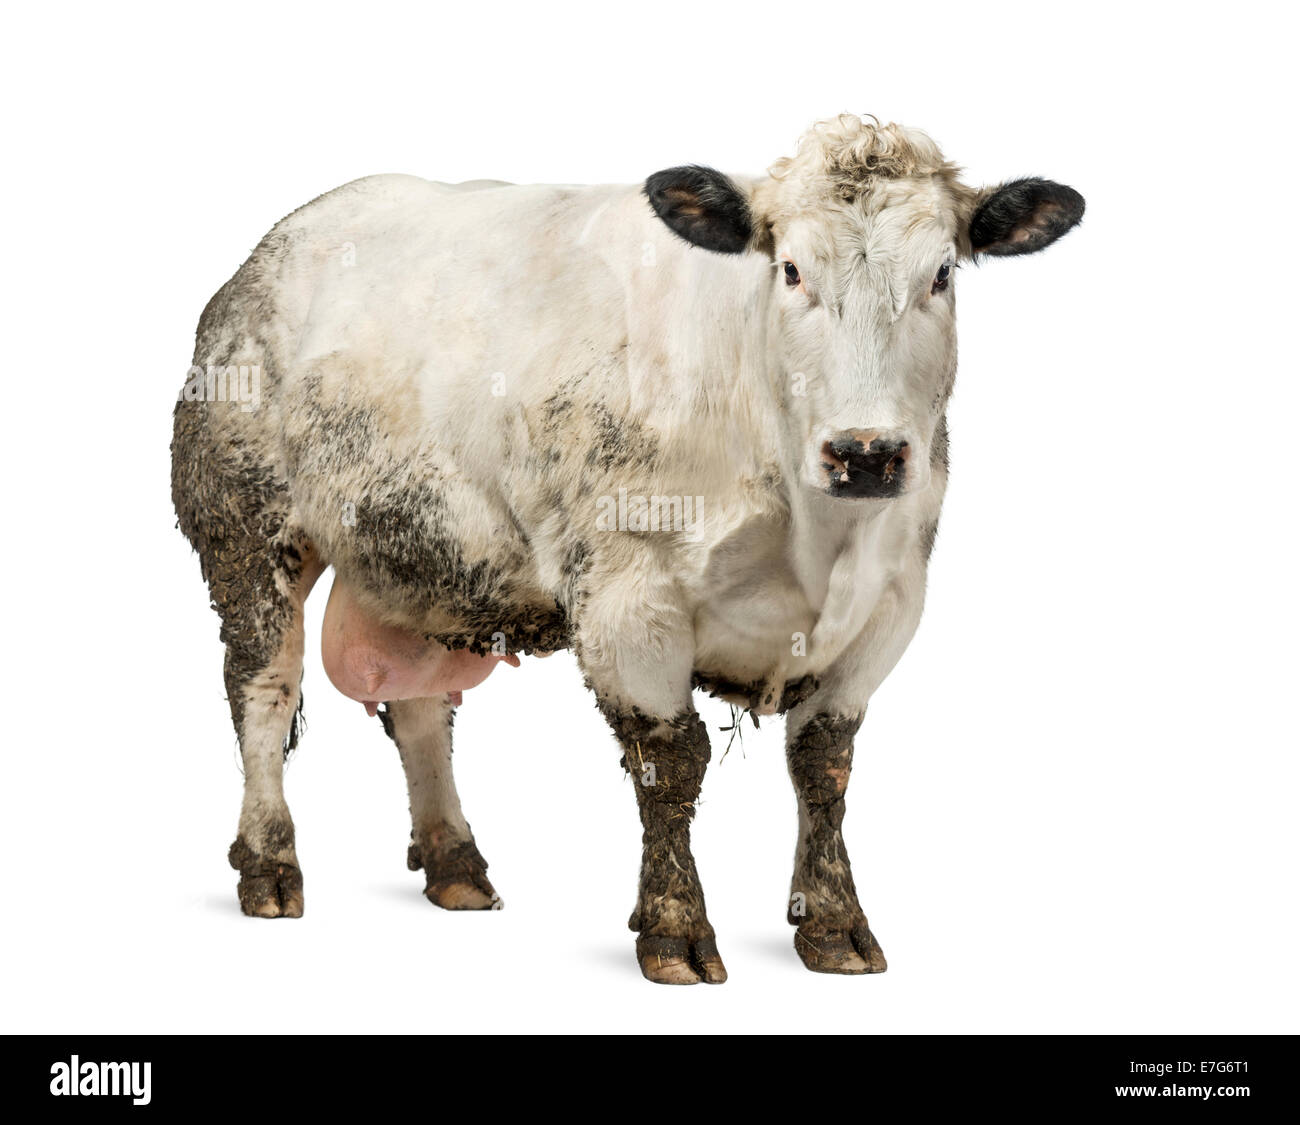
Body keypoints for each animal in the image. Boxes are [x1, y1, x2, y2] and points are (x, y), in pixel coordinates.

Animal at [175, 116, 1086, 983]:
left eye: (941, 274)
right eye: (792, 270)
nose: (866, 453)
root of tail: (272, 249)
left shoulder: (891, 603)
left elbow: (824, 763)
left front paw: (834, 922)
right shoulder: (626, 594)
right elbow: (671, 761)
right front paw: (676, 929)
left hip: (422, 552)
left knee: (421, 707)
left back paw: (455, 860)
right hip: (245, 524)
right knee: (263, 688)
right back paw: (269, 863)